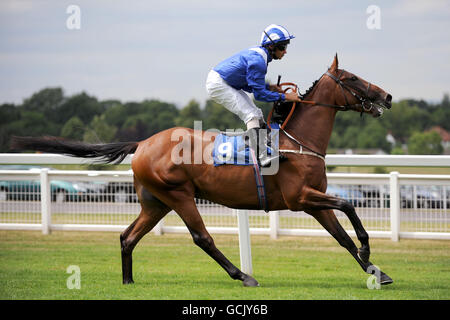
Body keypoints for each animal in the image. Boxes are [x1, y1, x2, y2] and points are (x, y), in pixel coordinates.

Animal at [11, 53, 394, 286]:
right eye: (352, 77)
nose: (387, 96)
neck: (296, 142)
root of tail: (143, 143)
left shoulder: (314, 202)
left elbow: (341, 236)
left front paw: (377, 272)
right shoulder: (301, 198)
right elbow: (348, 207)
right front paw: (367, 250)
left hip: (155, 202)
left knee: (128, 236)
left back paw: (128, 281)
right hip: (179, 195)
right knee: (201, 237)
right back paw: (243, 276)